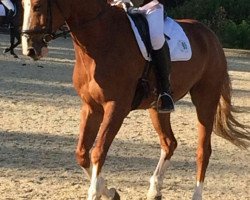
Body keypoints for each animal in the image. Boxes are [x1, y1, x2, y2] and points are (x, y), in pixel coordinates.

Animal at [20, 0, 249, 200]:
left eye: (38, 6)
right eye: (23, 5)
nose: (30, 48)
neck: (101, 39)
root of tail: (210, 36)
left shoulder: (116, 108)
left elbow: (98, 152)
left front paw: (96, 192)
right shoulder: (91, 107)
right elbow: (82, 153)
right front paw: (109, 191)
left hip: (205, 99)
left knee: (203, 150)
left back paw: (195, 195)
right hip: (158, 107)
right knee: (169, 143)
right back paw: (154, 190)